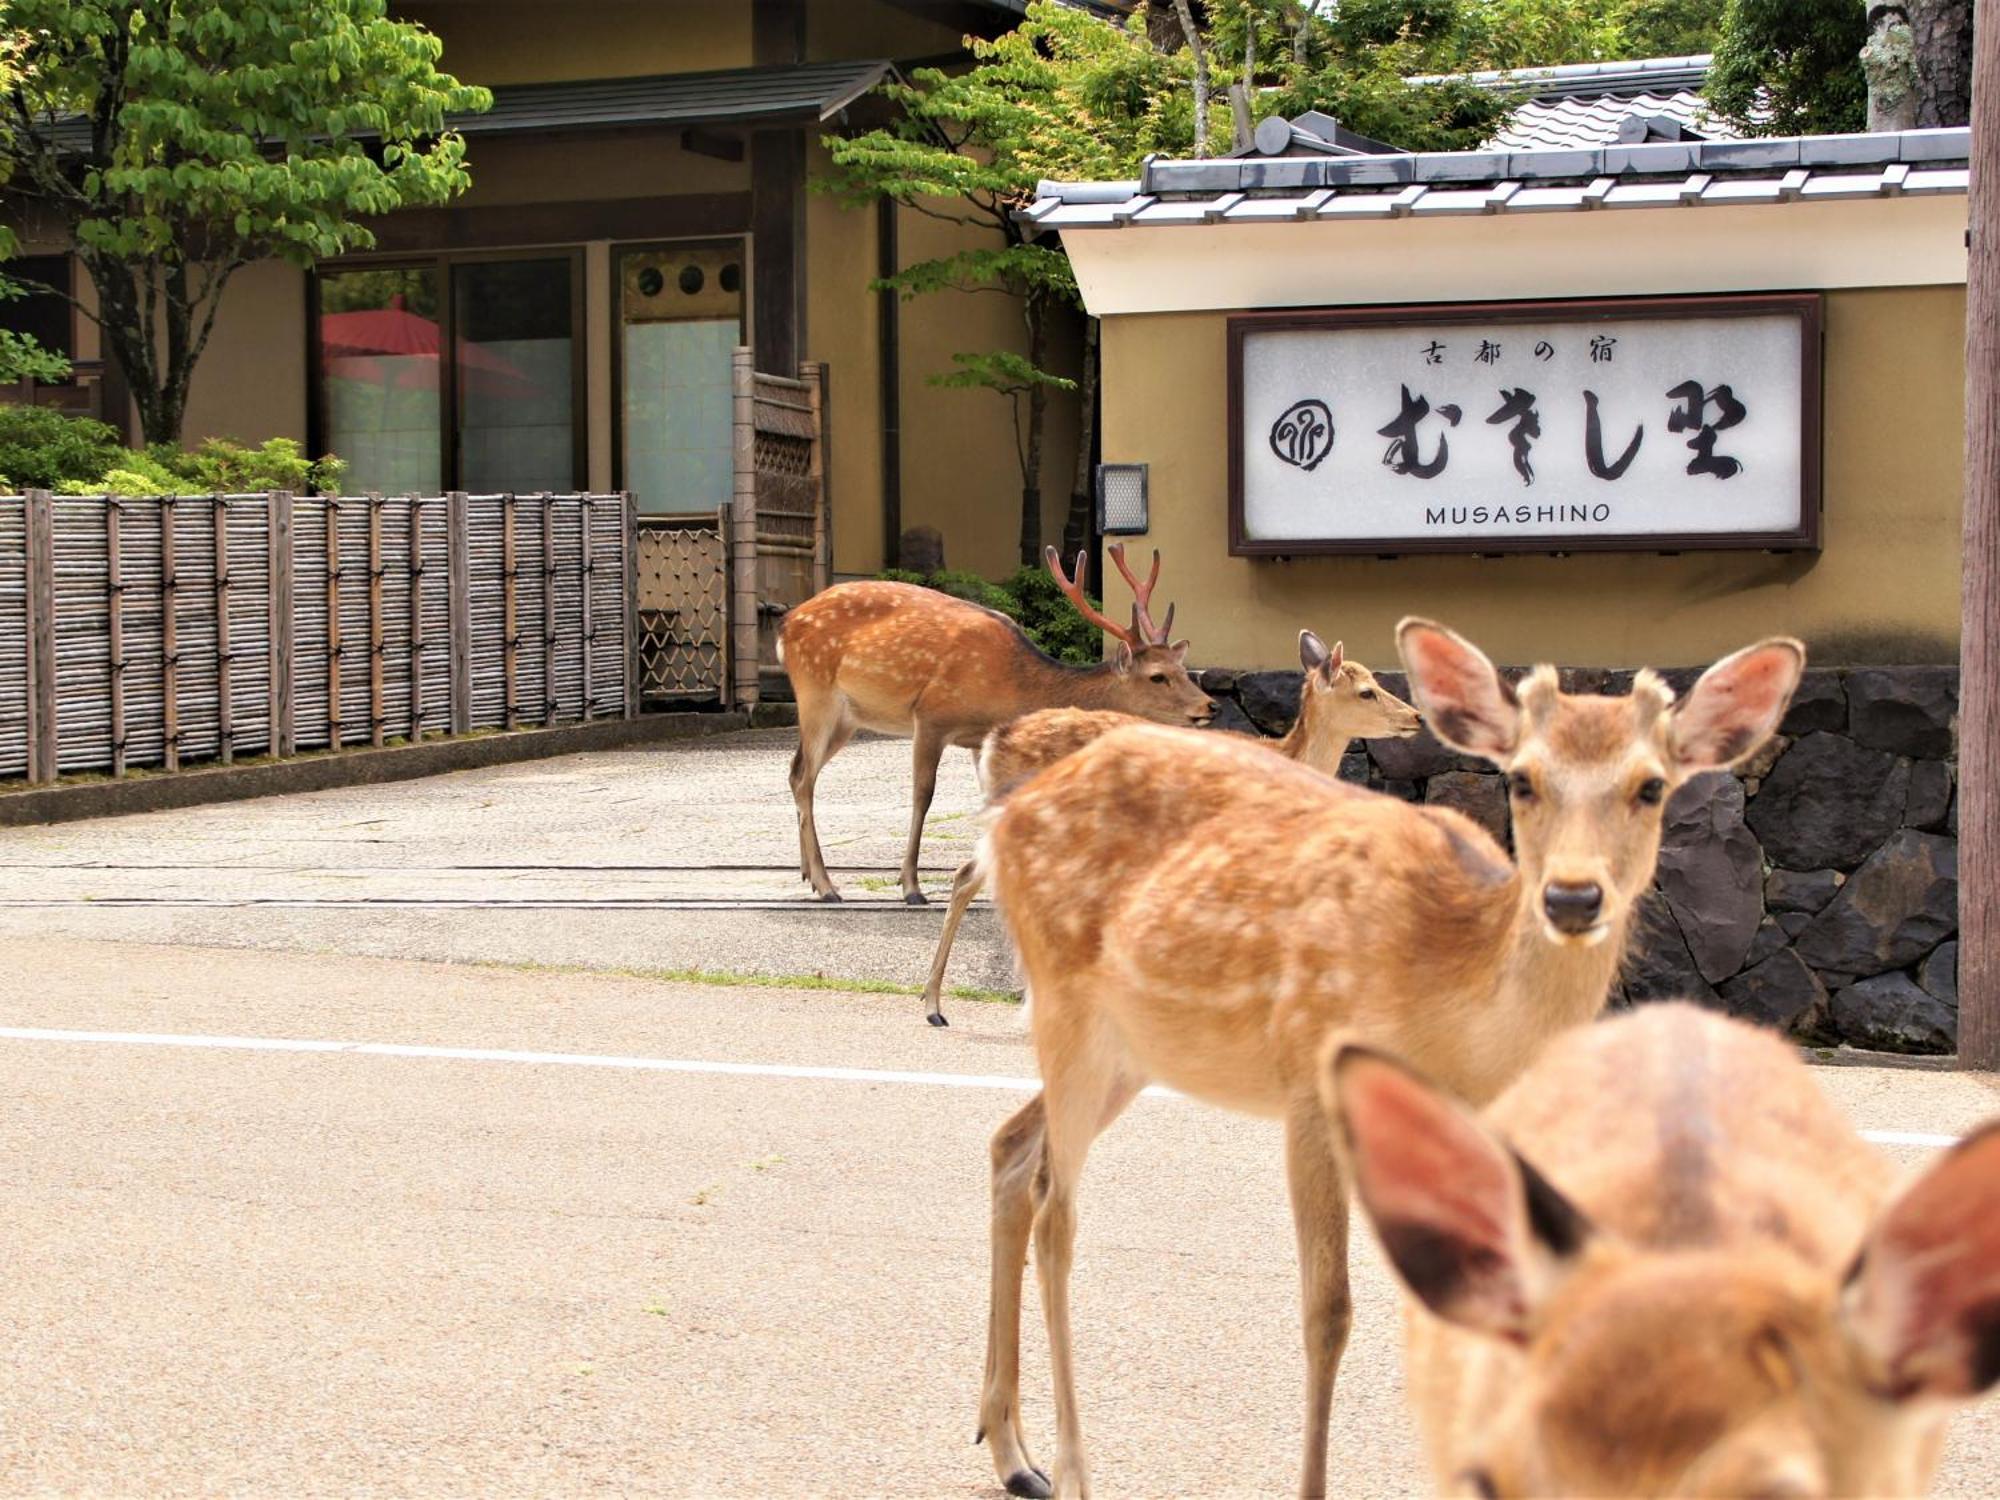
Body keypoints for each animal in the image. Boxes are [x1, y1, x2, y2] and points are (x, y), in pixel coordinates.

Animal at [772, 548, 1208, 912]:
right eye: (1157, 677)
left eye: (1184, 669)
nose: (1210, 706)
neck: (1011, 687)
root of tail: (785, 624)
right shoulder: (931, 716)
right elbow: (922, 796)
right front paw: (911, 886)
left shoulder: (979, 739)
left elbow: (990, 801)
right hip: (816, 692)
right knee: (804, 776)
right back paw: (827, 885)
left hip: (847, 718)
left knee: (797, 773)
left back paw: (808, 874)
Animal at [920, 628, 1424, 1032]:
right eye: (1367, 691)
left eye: (1377, 682)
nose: (1417, 717)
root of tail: (994, 742)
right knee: (974, 878)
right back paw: (939, 1006)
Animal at [976, 616, 1808, 1496]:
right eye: (1521, 780)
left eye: (1653, 787)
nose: (1573, 897)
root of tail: (1003, 816)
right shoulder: (1311, 1075)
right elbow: (1328, 1311)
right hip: (1065, 1001)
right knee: (1058, 1212)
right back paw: (1070, 1467)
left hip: (1130, 1052)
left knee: (1013, 1151)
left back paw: (1012, 1451)